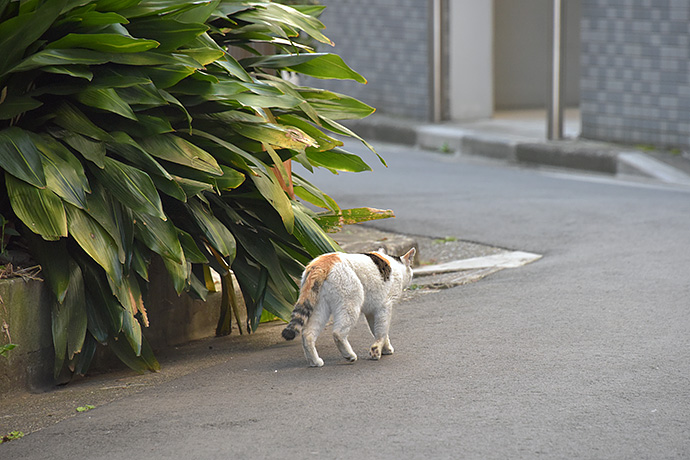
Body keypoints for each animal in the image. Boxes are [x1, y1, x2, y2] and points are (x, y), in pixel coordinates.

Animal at [280, 248, 414, 366]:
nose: (411, 277)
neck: (397, 266)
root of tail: (321, 264)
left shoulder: (371, 311)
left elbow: (376, 330)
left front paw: (385, 348)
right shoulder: (384, 306)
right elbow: (382, 331)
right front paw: (376, 351)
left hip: (319, 307)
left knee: (307, 334)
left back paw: (315, 362)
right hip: (351, 303)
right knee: (338, 333)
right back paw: (349, 356)